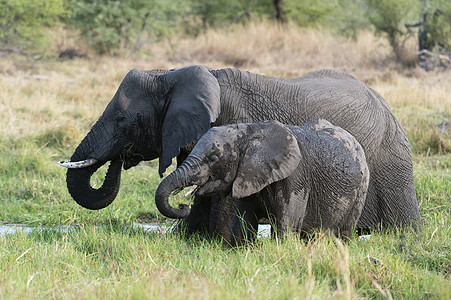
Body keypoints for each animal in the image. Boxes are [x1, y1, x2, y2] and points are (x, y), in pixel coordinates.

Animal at [157, 118, 370, 245]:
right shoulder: (247, 176)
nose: (183, 205)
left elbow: (287, 225)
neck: (251, 131)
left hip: (362, 187)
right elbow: (244, 222)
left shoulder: (296, 176)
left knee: (344, 231)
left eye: (212, 158)